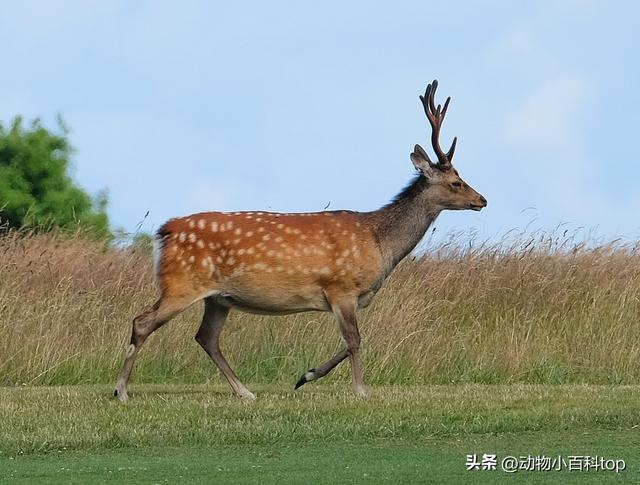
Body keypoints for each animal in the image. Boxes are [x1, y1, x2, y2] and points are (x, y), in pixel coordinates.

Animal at [114, 80, 484, 400]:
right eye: (456, 181)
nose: (482, 200)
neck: (380, 244)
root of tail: (166, 231)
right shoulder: (341, 287)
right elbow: (355, 339)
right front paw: (359, 390)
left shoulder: (345, 297)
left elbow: (349, 342)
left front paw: (305, 376)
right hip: (181, 283)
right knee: (142, 322)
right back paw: (121, 391)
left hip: (218, 297)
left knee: (206, 337)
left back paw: (245, 392)